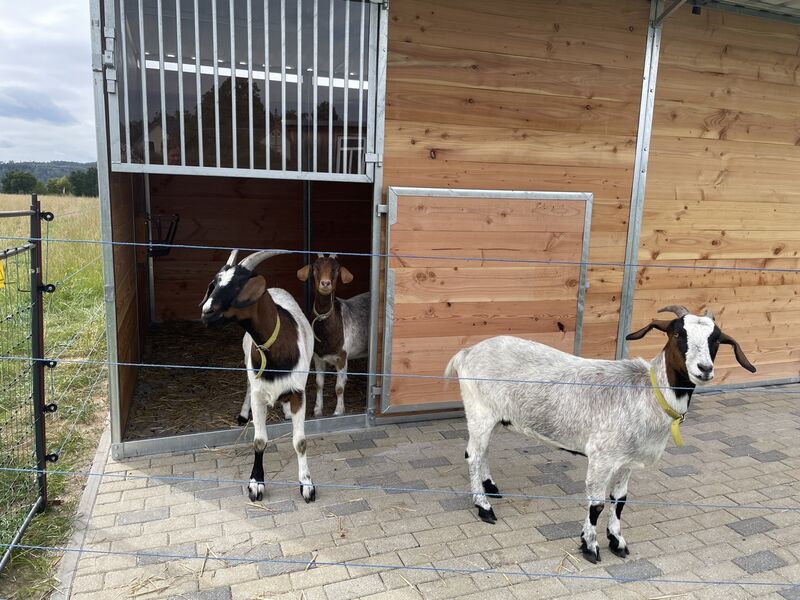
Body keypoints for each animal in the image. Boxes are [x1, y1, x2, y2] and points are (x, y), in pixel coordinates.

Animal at [200, 249, 316, 503]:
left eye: (237, 285)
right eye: (215, 283)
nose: (206, 312)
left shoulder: (298, 393)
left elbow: (300, 442)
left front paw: (307, 485)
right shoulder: (258, 393)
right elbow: (260, 440)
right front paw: (256, 483)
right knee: (246, 385)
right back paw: (244, 414)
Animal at [297, 254, 370, 417]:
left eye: (336, 270)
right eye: (315, 268)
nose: (325, 283)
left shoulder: (342, 357)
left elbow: (339, 387)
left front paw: (338, 411)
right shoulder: (317, 356)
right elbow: (319, 383)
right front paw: (317, 410)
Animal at [444, 306, 755, 563]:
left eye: (716, 340)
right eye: (678, 333)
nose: (704, 369)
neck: (648, 393)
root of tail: (467, 352)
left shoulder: (627, 461)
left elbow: (620, 501)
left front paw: (617, 541)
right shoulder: (601, 458)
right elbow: (596, 505)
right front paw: (590, 546)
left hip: (494, 416)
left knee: (481, 451)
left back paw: (491, 488)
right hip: (480, 411)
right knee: (473, 455)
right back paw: (484, 507)